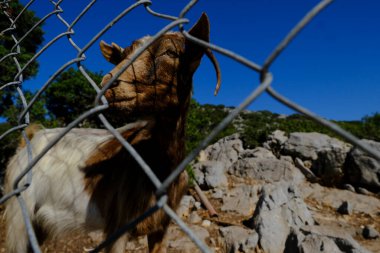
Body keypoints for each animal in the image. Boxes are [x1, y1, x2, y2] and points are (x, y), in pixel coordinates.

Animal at [4, 13, 221, 253]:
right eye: (123, 56)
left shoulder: (162, 225)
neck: (157, 166)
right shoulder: (118, 224)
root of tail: (31, 137)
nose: (108, 82)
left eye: (170, 53)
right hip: (18, 212)